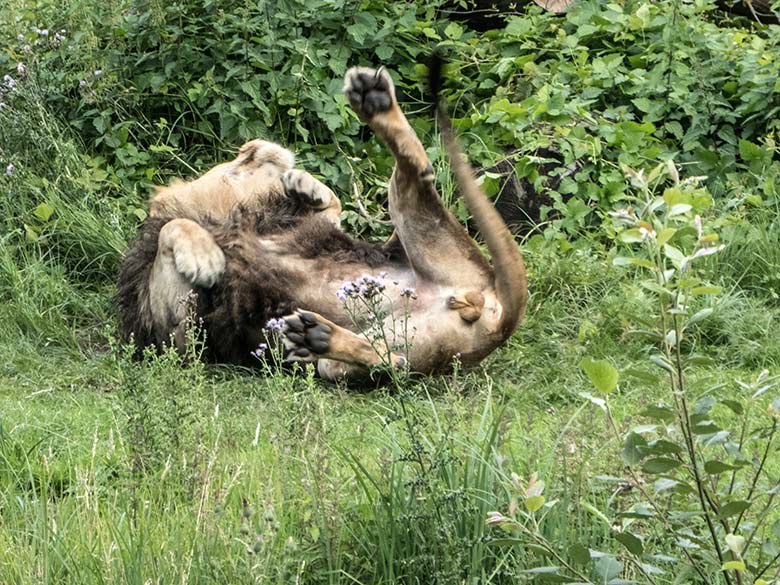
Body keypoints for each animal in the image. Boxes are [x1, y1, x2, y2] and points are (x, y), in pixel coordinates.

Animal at [116, 66, 528, 380]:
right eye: (238, 161)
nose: (253, 144)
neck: (231, 213)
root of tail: (492, 313)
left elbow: (331, 206)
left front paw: (306, 187)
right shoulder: (177, 337)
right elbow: (172, 227)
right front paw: (206, 259)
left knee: (416, 171)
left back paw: (375, 100)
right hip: (396, 342)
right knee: (389, 362)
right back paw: (318, 337)